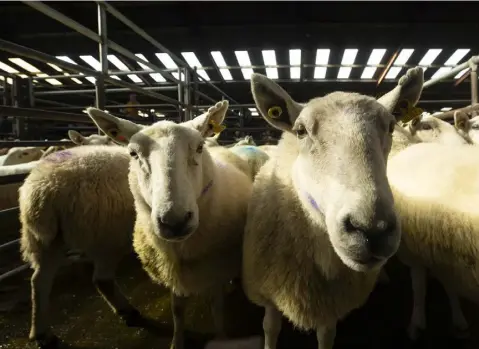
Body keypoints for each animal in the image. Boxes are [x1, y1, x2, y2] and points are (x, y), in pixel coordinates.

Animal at [19, 144, 146, 348]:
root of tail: (42, 189)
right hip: (107, 237)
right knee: (102, 280)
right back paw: (127, 311)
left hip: (46, 242)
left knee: (39, 282)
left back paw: (42, 334)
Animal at [88, 99, 256, 346]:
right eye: (133, 153)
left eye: (199, 148)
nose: (175, 221)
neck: (181, 249)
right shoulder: (172, 274)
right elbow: (177, 310)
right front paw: (177, 341)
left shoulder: (214, 269)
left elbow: (216, 308)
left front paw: (221, 338)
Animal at [242, 66, 426, 348]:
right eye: (301, 130)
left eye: (391, 126)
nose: (373, 229)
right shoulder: (268, 290)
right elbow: (270, 328)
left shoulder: (331, 304)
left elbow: (326, 336)